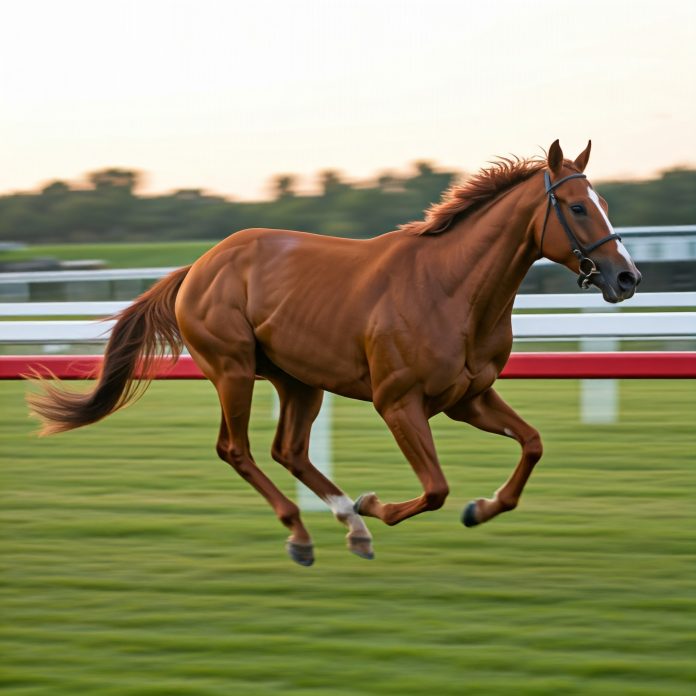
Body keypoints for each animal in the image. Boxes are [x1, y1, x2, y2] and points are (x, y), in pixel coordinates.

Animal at [29, 140, 641, 566]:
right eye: (576, 207)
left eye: (606, 202)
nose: (626, 277)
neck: (452, 290)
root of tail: (198, 267)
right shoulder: (398, 402)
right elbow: (435, 489)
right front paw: (376, 504)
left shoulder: (468, 397)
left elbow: (532, 445)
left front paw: (479, 508)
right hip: (233, 369)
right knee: (237, 449)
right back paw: (305, 531)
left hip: (299, 379)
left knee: (289, 450)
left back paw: (349, 524)